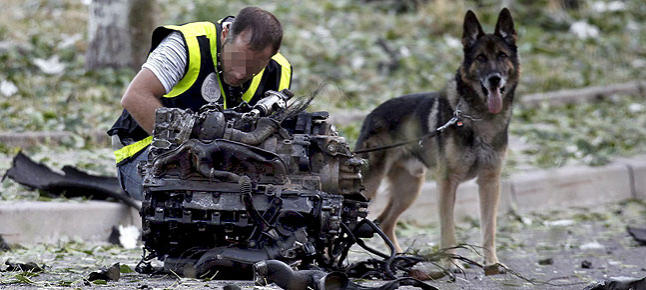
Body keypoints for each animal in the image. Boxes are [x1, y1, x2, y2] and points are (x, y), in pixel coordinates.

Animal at [356, 7, 520, 274]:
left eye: (502, 55)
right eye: (481, 58)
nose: (494, 79)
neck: (478, 117)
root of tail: (371, 114)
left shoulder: (490, 182)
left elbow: (489, 227)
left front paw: (492, 263)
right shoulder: (447, 183)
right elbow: (448, 228)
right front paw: (451, 263)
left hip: (410, 188)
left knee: (384, 221)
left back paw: (398, 261)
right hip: (371, 186)